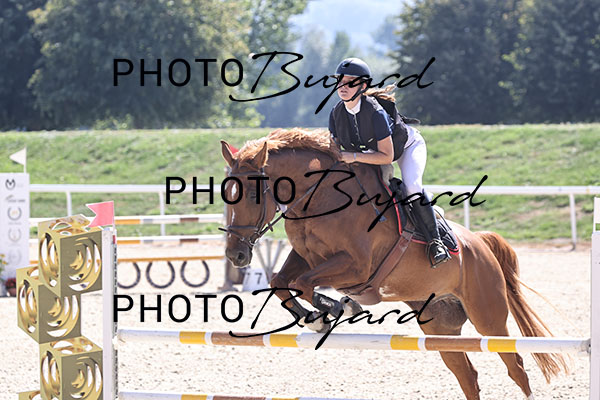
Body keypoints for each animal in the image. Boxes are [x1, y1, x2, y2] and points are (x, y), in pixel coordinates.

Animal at [219, 128, 568, 400]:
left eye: (253, 194)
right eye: (227, 194)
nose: (236, 255)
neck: (319, 199)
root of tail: (480, 242)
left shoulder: (356, 266)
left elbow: (302, 284)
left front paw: (336, 309)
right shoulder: (306, 258)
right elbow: (281, 282)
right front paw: (317, 317)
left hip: (488, 318)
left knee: (515, 366)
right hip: (440, 326)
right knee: (467, 375)